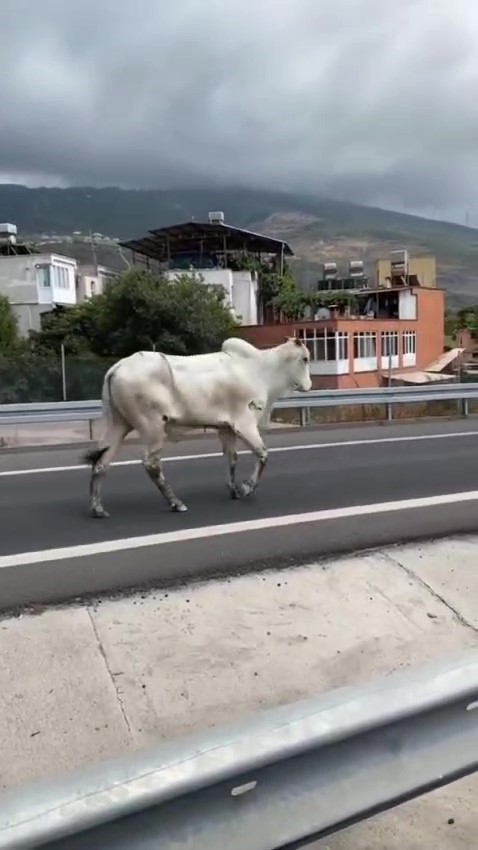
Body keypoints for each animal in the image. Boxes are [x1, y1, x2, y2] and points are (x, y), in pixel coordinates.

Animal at [83, 334, 312, 512]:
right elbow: (263, 454)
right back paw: (176, 503)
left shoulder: (226, 428)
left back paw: (97, 508)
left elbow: (232, 458)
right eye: (305, 359)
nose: (309, 385)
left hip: (117, 424)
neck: (262, 369)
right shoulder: (244, 424)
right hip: (152, 428)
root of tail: (117, 367)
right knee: (151, 464)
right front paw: (247, 487)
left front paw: (234, 491)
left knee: (101, 462)